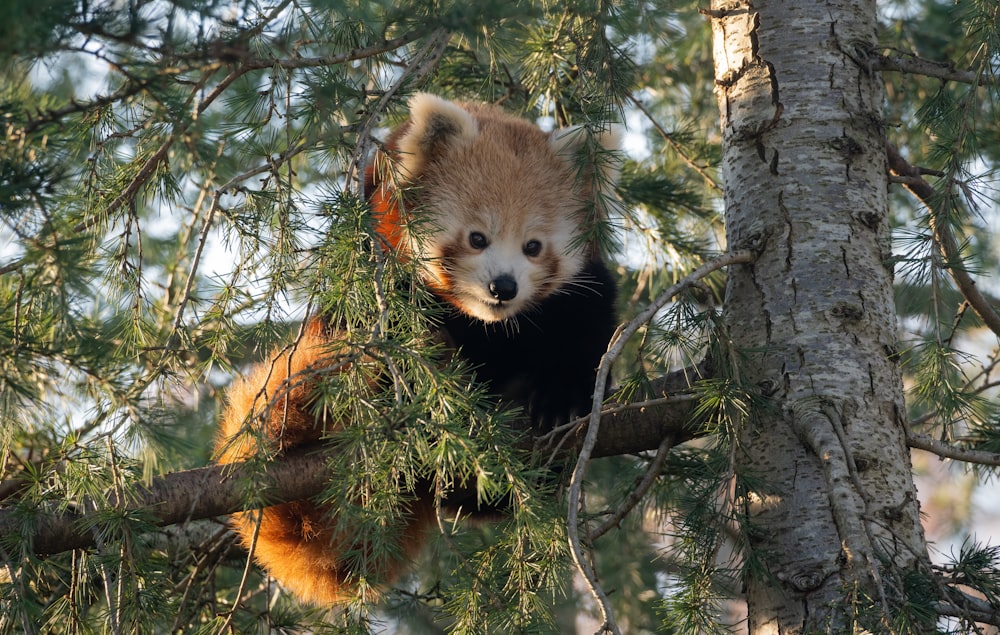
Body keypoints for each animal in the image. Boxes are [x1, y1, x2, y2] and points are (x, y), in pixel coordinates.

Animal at [216, 94, 620, 608]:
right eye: (477, 238)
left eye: (533, 247)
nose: (503, 287)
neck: (487, 327)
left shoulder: (579, 298)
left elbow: (585, 338)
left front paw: (559, 402)